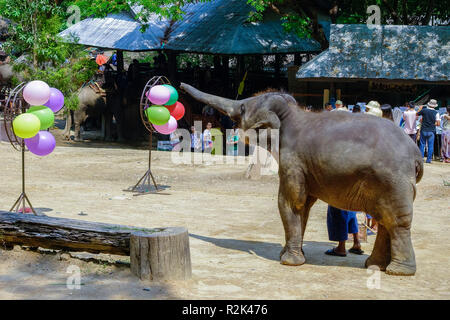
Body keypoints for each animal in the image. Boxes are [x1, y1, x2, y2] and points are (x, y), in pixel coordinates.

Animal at [179, 82, 422, 276]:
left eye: (242, 108)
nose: (180, 85)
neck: (290, 113)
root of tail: (416, 152)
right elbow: (303, 206)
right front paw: (287, 254)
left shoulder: (293, 161)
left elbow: (290, 201)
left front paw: (288, 261)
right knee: (384, 219)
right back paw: (374, 266)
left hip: (393, 180)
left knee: (396, 221)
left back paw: (398, 271)